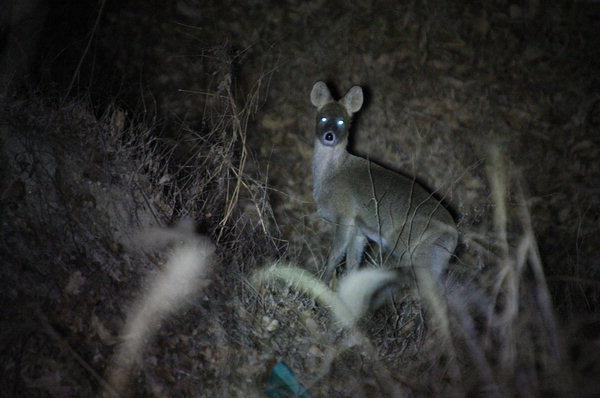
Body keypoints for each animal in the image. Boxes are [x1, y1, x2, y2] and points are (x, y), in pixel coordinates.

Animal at [312, 82, 458, 282]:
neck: (332, 173)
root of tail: (454, 236)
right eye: (323, 118)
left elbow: (334, 257)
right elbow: (352, 264)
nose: (329, 135)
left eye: (342, 122)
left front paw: (322, 283)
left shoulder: (344, 216)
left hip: (415, 255)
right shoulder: (359, 230)